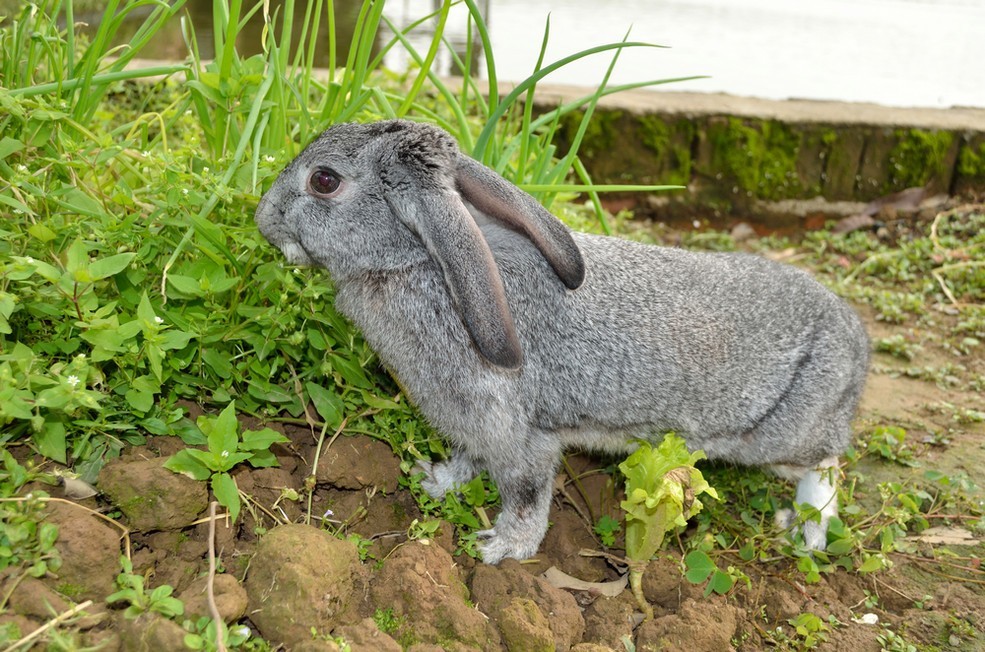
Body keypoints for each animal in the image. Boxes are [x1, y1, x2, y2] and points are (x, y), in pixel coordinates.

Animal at [256, 119, 868, 564]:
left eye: (324, 181)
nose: (264, 219)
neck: (420, 260)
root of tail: (854, 336)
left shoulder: (522, 438)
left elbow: (527, 498)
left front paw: (501, 549)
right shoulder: (474, 426)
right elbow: (466, 460)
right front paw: (436, 481)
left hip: (774, 438)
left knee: (828, 463)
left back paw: (806, 531)